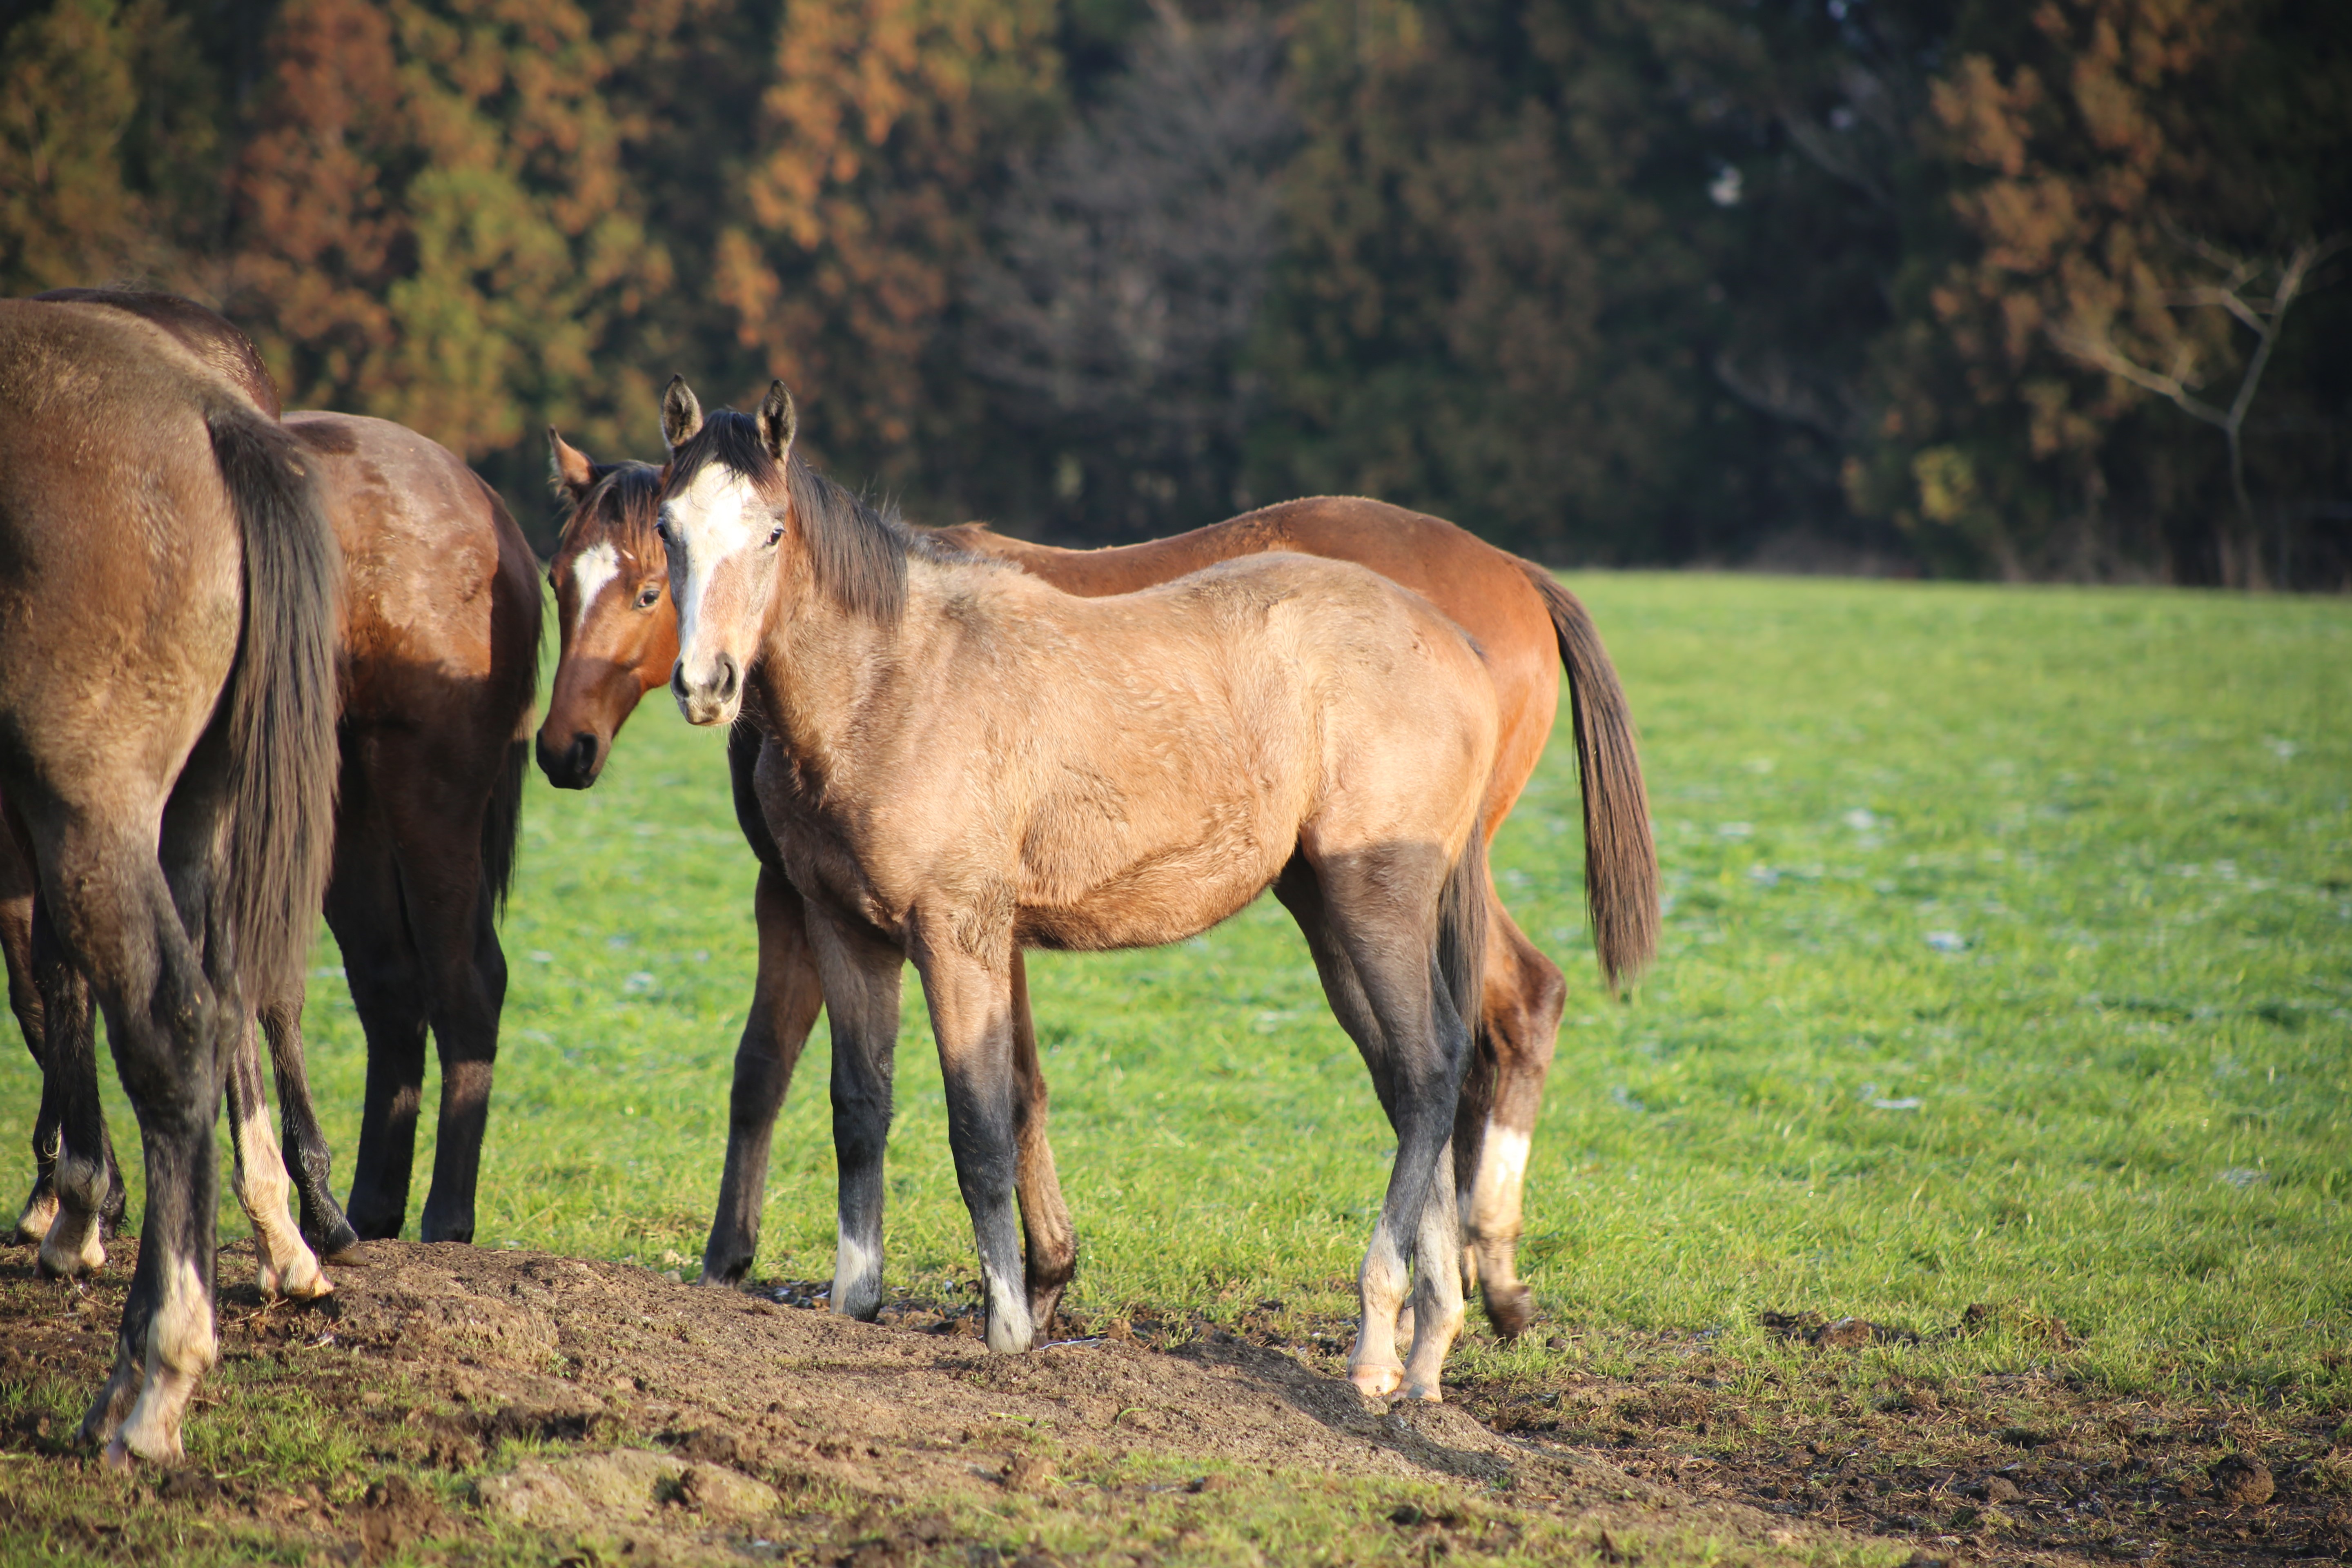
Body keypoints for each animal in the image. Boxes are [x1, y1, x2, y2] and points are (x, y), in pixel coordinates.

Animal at [0, 297, 343, 1457]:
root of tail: (212, 416)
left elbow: (49, 995)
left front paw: (71, 1209)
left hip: (95, 811)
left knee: (170, 1023)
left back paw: (157, 1376)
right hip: (191, 819)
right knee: (226, 998)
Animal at [9, 291, 536, 1278]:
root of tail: (488, 503)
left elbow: (72, 980)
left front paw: (85, 1201)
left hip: (425, 797)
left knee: (463, 979)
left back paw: (425, 1214)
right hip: (347, 815)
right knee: (380, 986)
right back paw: (356, 1207)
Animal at [654, 381, 1496, 1401]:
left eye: (773, 532)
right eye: (666, 528)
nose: (706, 685)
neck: (893, 687)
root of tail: (1456, 645)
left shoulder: (958, 934)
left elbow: (979, 1125)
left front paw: (1010, 1327)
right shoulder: (844, 931)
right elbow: (859, 1110)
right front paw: (856, 1304)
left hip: (1376, 903)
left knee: (1430, 1072)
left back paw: (1376, 1342)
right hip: (1328, 914)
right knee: (1414, 1077)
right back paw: (1427, 1352)